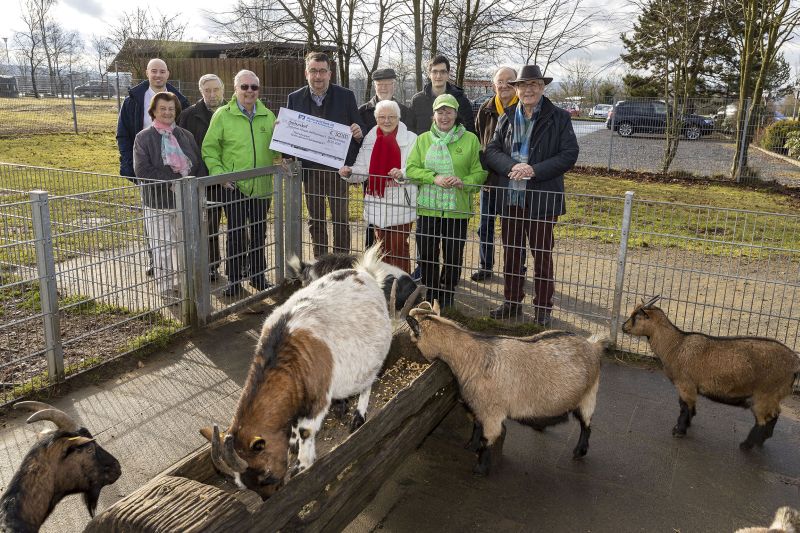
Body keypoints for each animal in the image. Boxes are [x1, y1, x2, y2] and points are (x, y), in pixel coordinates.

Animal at [200, 245, 418, 498]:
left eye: (265, 475)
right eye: (241, 484)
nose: (269, 497)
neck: (285, 356)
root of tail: (364, 272)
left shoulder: (318, 398)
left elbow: (306, 431)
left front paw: (302, 465)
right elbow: (296, 427)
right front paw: (295, 444)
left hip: (373, 354)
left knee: (368, 382)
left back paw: (358, 416)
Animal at [406, 300, 608, 474]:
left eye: (413, 337)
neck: (472, 358)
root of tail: (593, 346)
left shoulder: (492, 413)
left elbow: (488, 439)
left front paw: (480, 468)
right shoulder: (478, 407)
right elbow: (476, 427)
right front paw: (470, 446)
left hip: (589, 395)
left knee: (586, 424)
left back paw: (579, 451)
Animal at [620, 296, 800, 448]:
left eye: (636, 316)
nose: (623, 326)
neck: (675, 345)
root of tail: (795, 362)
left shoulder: (685, 384)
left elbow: (685, 407)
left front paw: (679, 430)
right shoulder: (689, 387)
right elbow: (688, 407)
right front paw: (686, 424)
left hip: (765, 394)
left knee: (765, 419)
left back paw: (747, 445)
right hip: (771, 397)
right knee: (774, 416)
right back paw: (760, 441)